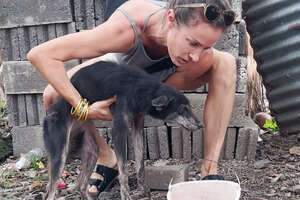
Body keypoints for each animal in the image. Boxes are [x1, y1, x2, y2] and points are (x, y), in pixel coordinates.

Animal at [43, 61, 200, 200]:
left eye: (188, 107)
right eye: (182, 110)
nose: (201, 125)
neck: (141, 89)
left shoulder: (137, 125)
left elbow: (140, 162)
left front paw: (143, 191)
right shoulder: (119, 129)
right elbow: (123, 169)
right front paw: (126, 195)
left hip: (91, 152)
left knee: (81, 186)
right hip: (60, 155)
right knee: (50, 193)